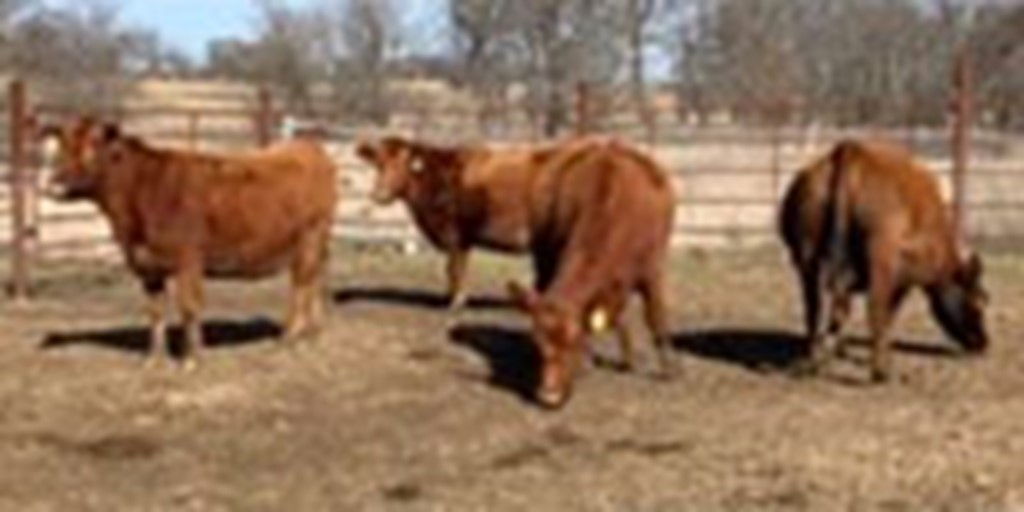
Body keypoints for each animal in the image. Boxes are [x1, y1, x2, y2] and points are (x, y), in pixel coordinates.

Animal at [45, 118, 339, 368]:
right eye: (61, 144)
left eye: (94, 143)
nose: (54, 183)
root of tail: (308, 147)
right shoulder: (148, 267)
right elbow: (155, 312)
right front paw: (153, 359)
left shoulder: (188, 261)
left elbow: (189, 307)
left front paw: (191, 359)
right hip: (314, 246)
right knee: (315, 283)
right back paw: (314, 335)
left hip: (310, 238)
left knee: (301, 287)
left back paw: (288, 338)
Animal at [356, 136, 598, 309]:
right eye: (378, 164)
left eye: (403, 164)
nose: (379, 194)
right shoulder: (464, 239)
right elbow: (457, 268)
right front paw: (453, 297)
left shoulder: (454, 233)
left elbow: (454, 268)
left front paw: (456, 302)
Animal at [503, 140, 679, 407]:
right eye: (538, 342)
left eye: (573, 341)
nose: (549, 395)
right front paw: (586, 363)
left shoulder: (652, 271)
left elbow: (656, 318)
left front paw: (670, 370)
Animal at [778, 138, 987, 382]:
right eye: (979, 303)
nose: (983, 344)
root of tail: (852, 151)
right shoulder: (902, 278)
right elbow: (888, 316)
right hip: (880, 261)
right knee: (873, 309)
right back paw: (880, 371)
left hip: (806, 257)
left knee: (814, 307)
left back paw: (815, 359)